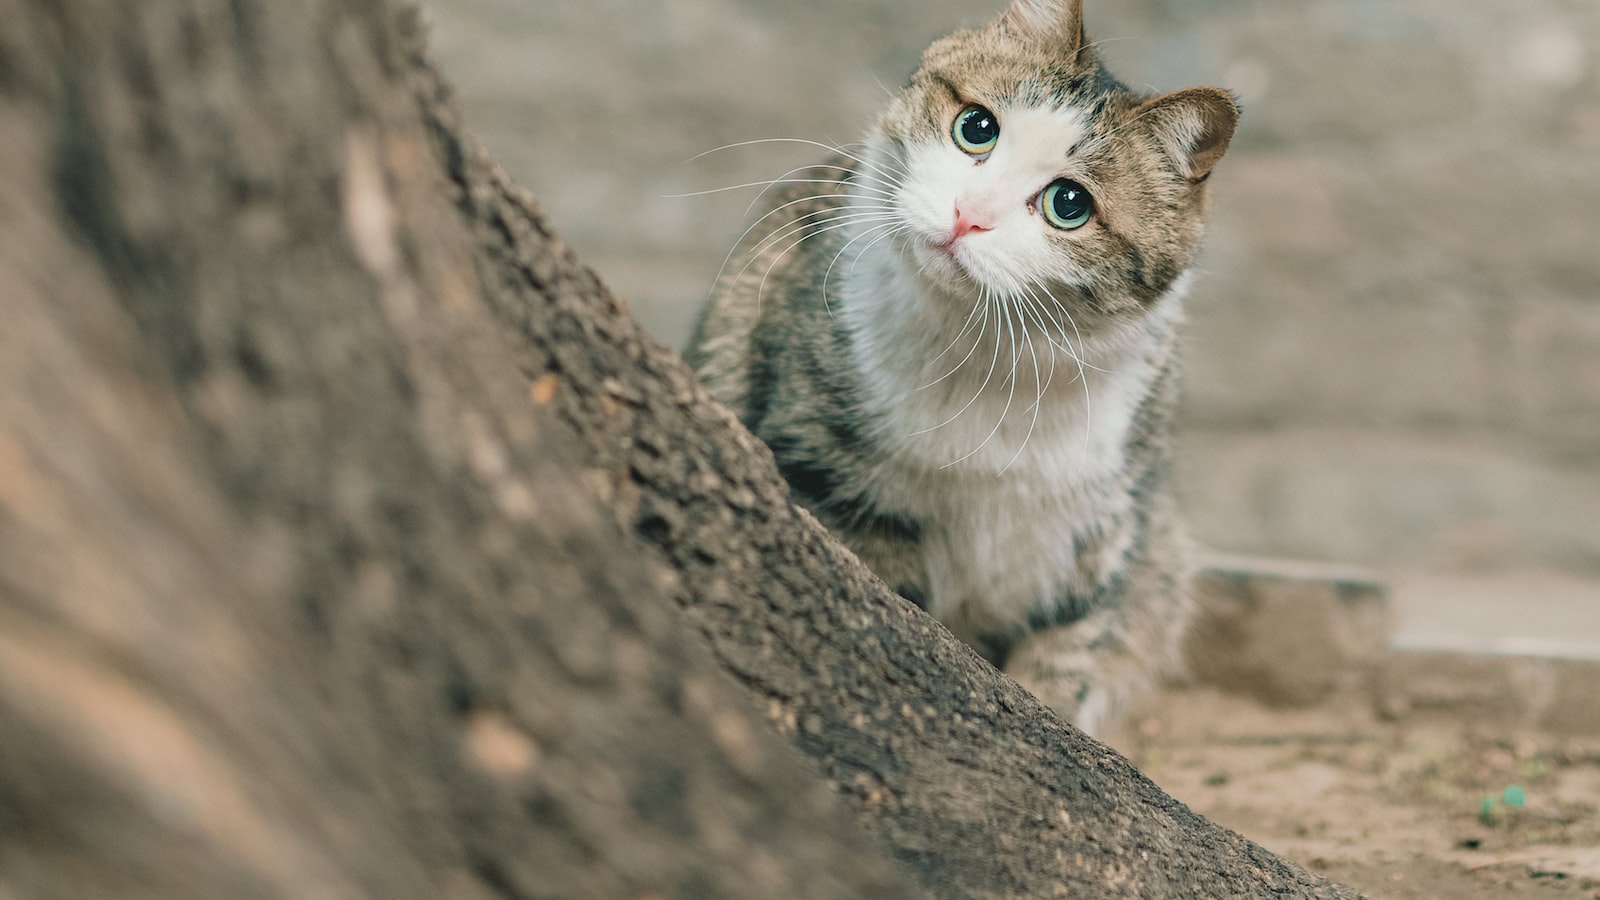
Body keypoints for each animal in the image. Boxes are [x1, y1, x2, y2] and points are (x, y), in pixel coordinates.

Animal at [684, 0, 1235, 733]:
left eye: (1069, 204)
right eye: (977, 128)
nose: (967, 216)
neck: (989, 360)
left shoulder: (1097, 539)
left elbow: (1063, 659)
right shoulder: (831, 477)